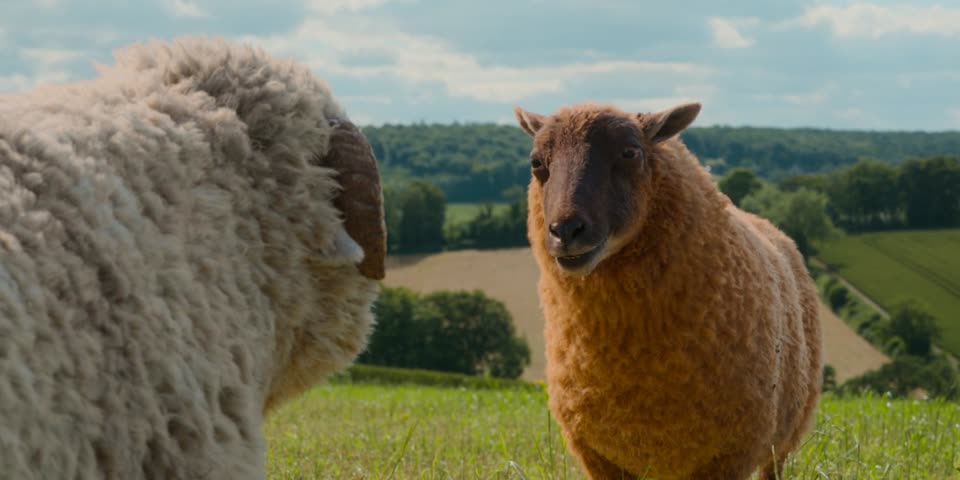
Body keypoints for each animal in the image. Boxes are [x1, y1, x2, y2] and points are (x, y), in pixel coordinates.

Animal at [513, 101, 822, 480]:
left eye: (631, 152)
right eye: (535, 162)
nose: (566, 230)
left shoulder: (731, 453)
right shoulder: (599, 456)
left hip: (785, 437)